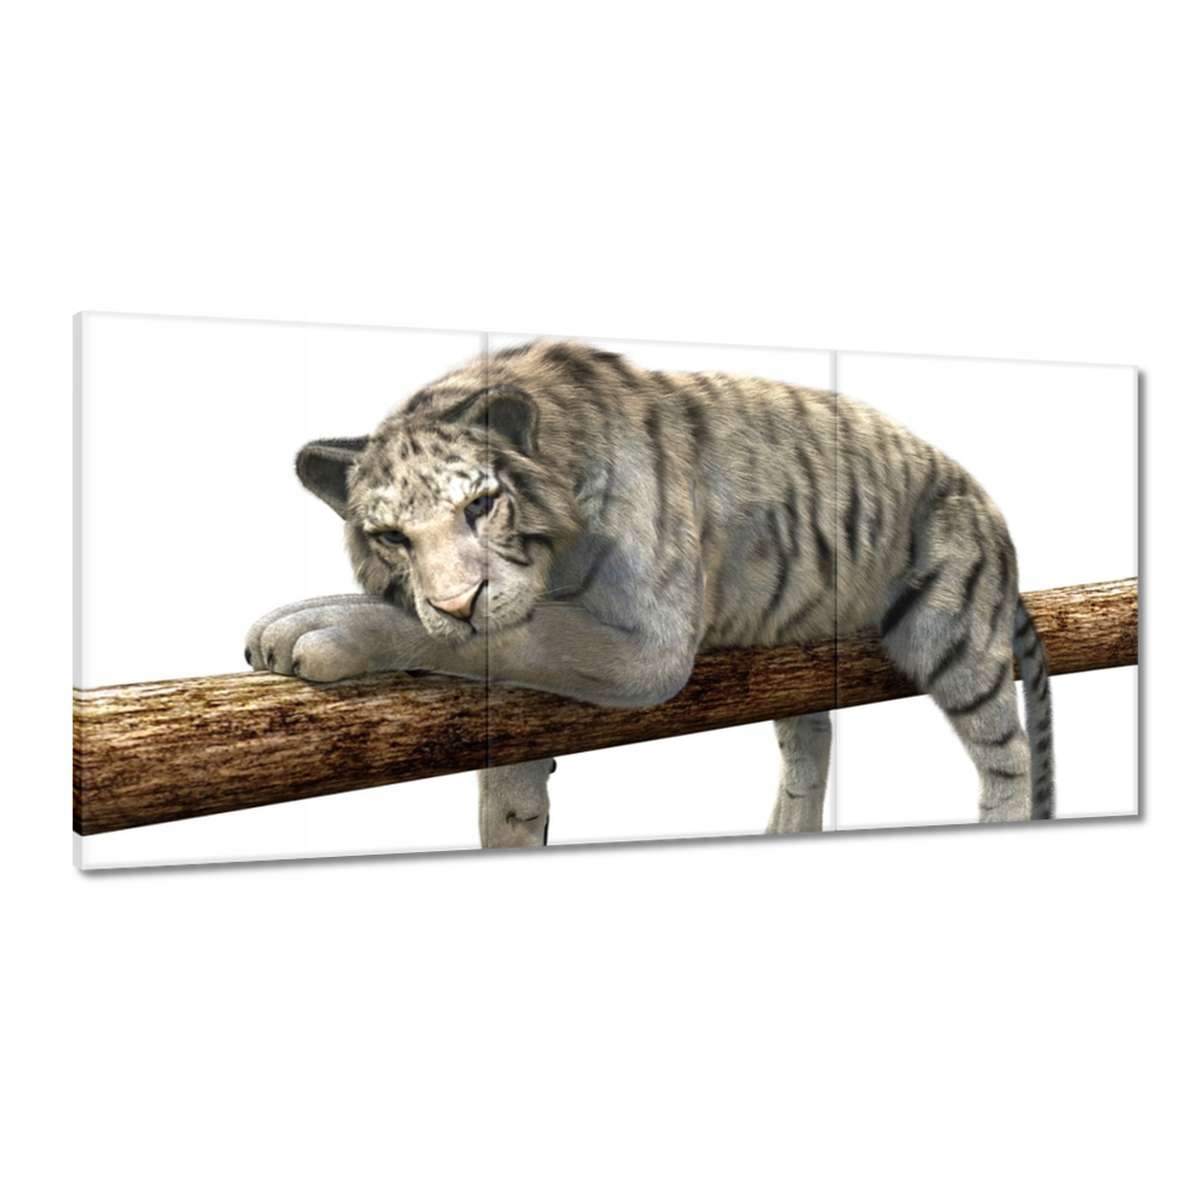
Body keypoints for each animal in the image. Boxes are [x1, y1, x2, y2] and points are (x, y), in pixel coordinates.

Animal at [244, 339, 1055, 847]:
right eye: (391, 537)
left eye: (480, 505)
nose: (454, 603)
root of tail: (983, 498)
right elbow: (507, 795)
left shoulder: (647, 650)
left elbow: (514, 635)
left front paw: (313, 630)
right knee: (811, 741)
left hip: (955, 636)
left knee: (1008, 754)